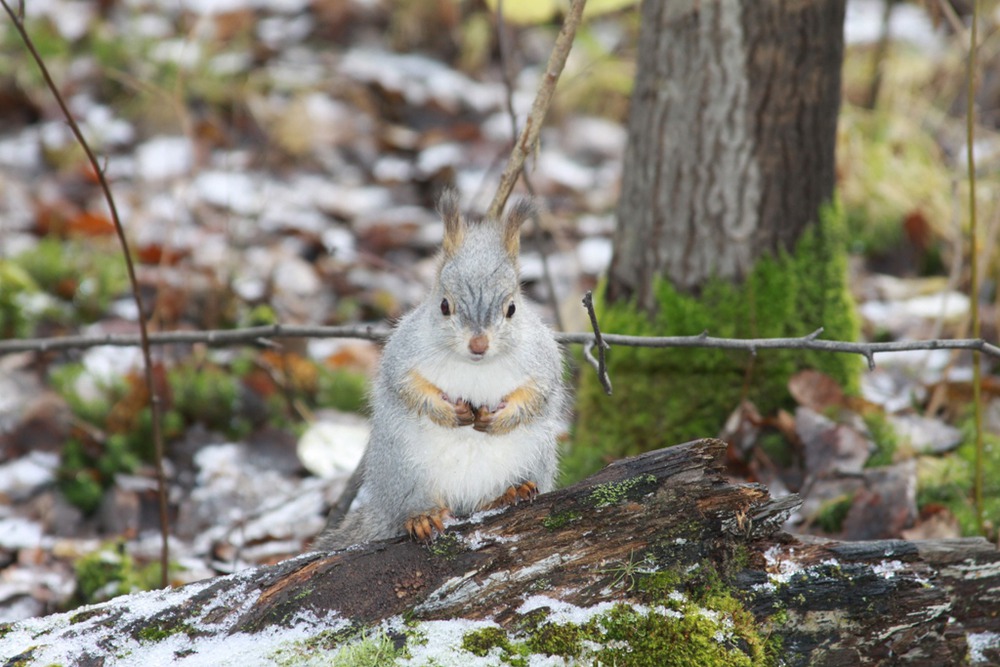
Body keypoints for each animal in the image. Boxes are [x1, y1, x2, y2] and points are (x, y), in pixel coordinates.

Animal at [312, 190, 568, 552]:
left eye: (512, 308)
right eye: (444, 306)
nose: (478, 344)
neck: (475, 366)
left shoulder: (542, 360)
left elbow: (538, 394)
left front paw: (500, 418)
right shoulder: (403, 354)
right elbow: (408, 386)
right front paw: (448, 412)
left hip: (532, 456)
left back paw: (509, 492)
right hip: (404, 471)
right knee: (413, 507)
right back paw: (423, 517)